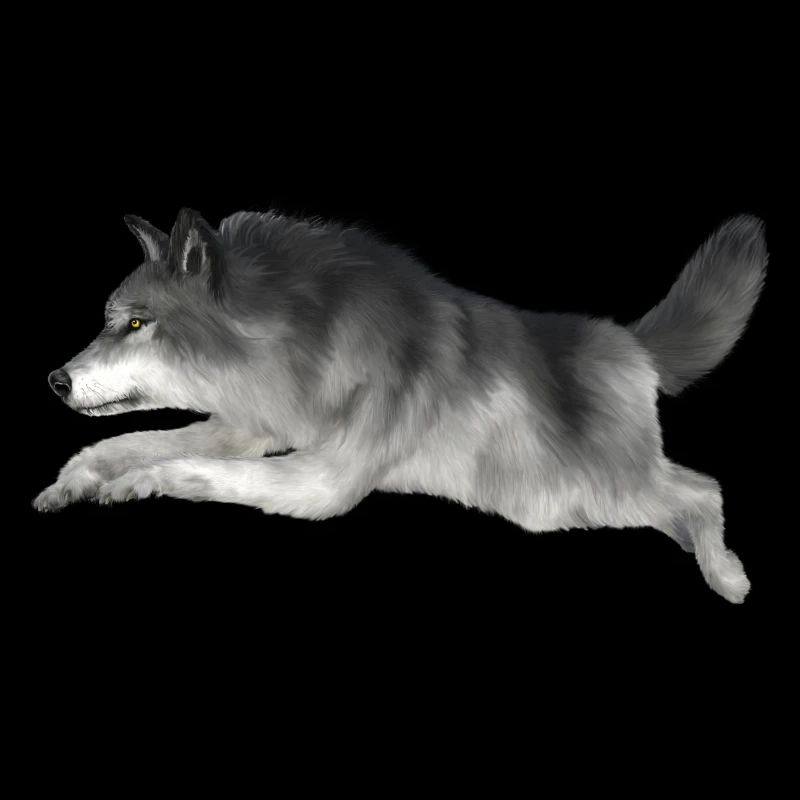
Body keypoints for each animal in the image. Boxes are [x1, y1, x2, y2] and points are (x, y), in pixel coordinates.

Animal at [33, 208, 767, 602]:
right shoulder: (249, 428)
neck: (304, 339)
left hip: (589, 493)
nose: (54, 380)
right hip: (574, 503)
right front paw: (72, 483)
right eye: (110, 321)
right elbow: (127, 443)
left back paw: (729, 577)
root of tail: (632, 344)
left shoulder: (323, 481)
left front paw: (131, 486)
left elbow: (192, 471)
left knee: (704, 489)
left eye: (136, 323)